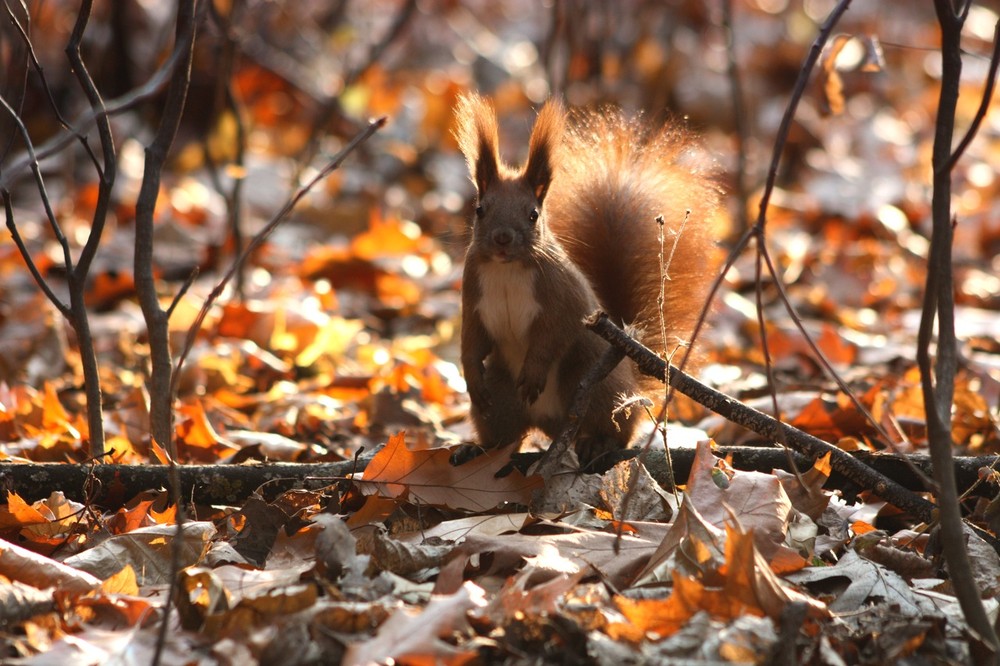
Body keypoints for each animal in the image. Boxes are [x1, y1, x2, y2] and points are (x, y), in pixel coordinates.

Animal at [454, 93, 720, 466]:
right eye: (480, 209)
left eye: (533, 214)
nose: (503, 238)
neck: (507, 268)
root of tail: (550, 423)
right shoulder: (473, 295)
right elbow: (471, 340)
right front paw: (471, 379)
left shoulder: (564, 298)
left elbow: (553, 334)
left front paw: (533, 373)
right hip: (502, 396)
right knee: (504, 435)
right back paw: (478, 449)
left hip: (595, 382)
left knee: (617, 429)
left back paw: (597, 443)